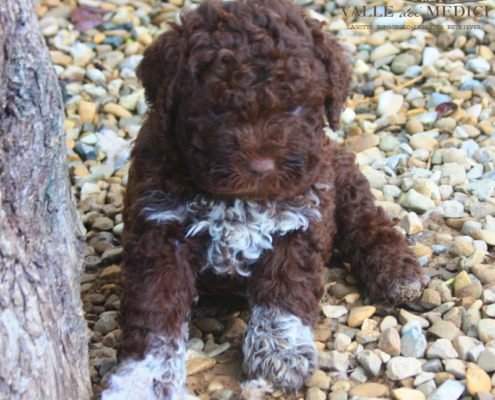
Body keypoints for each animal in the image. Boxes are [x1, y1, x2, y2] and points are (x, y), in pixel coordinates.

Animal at [101, 0, 426, 398]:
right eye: (213, 108)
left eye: (298, 106)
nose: (261, 166)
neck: (239, 200)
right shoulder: (159, 229)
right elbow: (155, 311)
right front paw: (142, 378)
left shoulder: (301, 219)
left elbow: (283, 293)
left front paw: (280, 355)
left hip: (341, 175)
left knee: (368, 223)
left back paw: (397, 271)